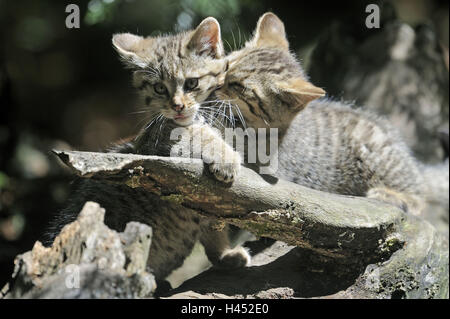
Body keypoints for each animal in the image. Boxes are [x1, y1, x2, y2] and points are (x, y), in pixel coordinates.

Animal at [48, 18, 250, 282]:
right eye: (159, 88)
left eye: (192, 83)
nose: (177, 106)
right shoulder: (155, 141)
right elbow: (197, 133)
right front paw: (225, 157)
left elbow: (214, 226)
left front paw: (225, 255)